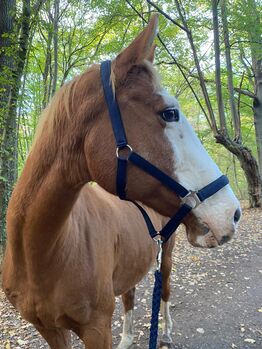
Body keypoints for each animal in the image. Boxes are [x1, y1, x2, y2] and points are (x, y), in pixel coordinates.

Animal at [2, 15, 241, 348]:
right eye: (169, 113)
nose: (232, 213)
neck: (41, 253)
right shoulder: (50, 330)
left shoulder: (97, 328)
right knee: (130, 294)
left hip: (166, 257)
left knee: (164, 292)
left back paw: (166, 332)